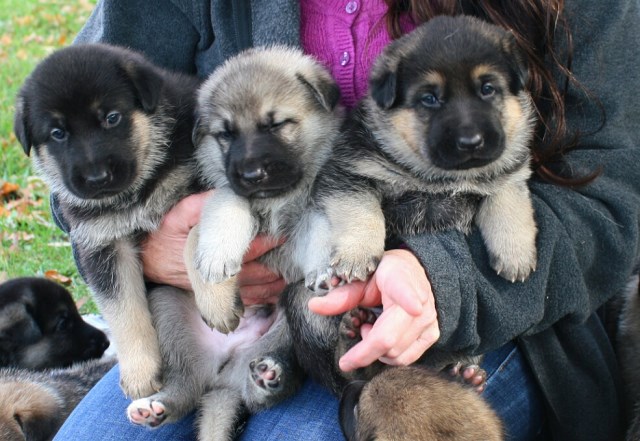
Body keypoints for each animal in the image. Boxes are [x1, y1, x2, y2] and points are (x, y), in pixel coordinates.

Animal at [13, 43, 201, 398]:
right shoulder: (103, 244)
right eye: (58, 133)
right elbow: (124, 310)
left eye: (111, 118)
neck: (135, 191)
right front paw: (140, 372)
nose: (97, 178)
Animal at [127, 46, 342, 438]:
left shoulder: (309, 210)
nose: (252, 174)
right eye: (225, 134)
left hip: (283, 329)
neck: (276, 199)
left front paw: (323, 270)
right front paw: (215, 274)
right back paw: (154, 407)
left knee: (261, 394)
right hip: (166, 305)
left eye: (276, 124)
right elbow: (220, 216)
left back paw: (268, 377)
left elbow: (320, 230)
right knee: (184, 387)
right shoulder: (224, 194)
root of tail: (222, 374)